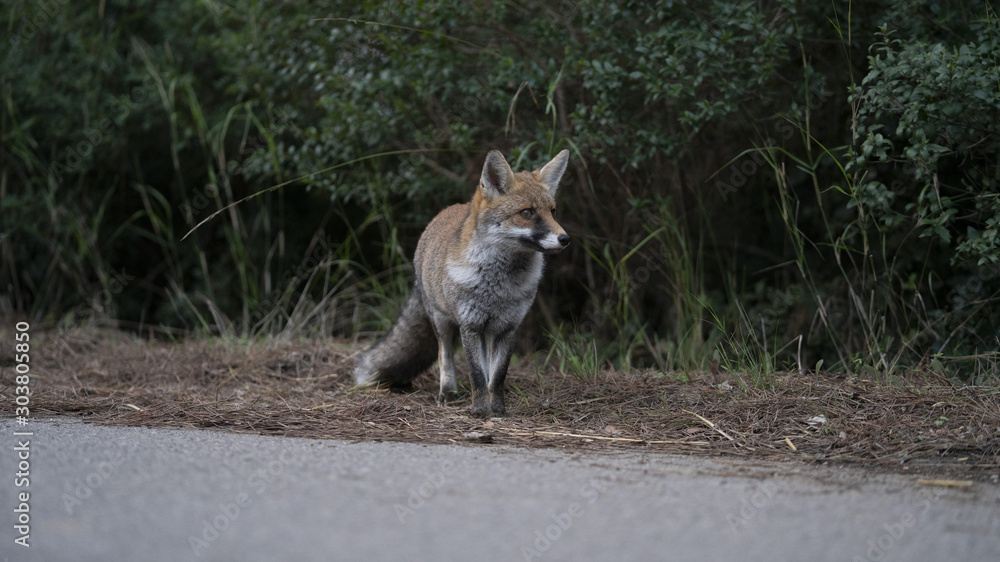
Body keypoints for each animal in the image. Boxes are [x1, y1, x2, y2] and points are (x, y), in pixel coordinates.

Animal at [354, 149, 571, 417]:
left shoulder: (507, 327)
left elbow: (497, 376)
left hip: (487, 332)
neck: (498, 286)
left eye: (553, 212)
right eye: (527, 213)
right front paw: (479, 410)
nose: (565, 239)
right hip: (442, 322)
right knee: (444, 356)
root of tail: (444, 213)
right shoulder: (470, 325)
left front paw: (497, 409)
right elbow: (477, 374)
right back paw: (448, 392)